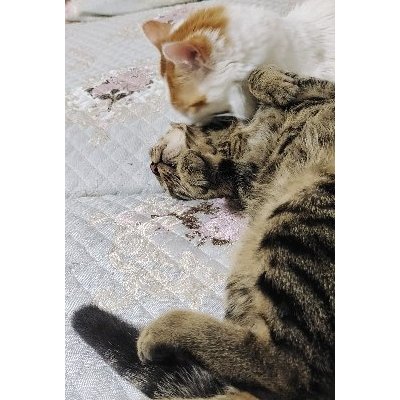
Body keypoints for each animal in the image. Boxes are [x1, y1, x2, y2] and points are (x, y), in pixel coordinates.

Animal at [73, 65, 335, 400]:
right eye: (170, 188)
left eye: (160, 178)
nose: (154, 167)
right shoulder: (245, 183)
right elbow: (221, 174)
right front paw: (195, 168)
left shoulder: (325, 91)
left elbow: (265, 76)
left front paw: (278, 85)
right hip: (281, 232)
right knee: (288, 370)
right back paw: (160, 332)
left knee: (290, 371)